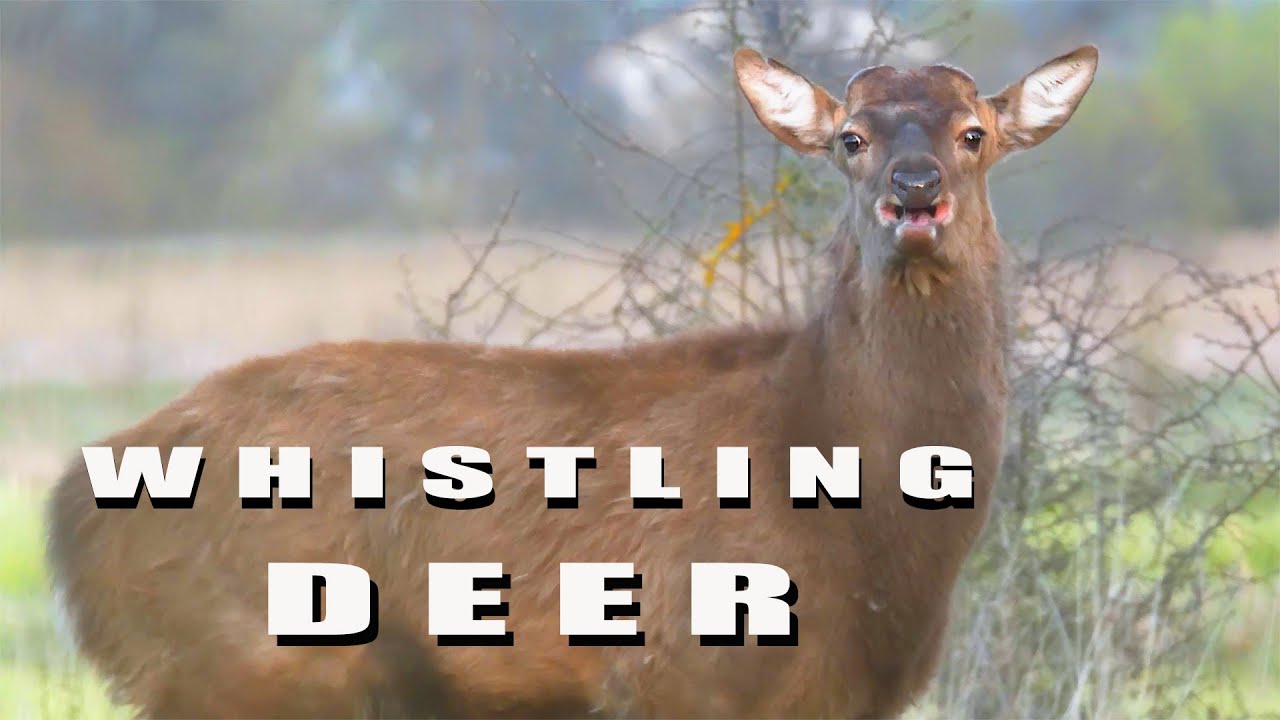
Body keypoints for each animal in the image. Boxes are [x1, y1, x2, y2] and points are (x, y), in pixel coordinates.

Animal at [46, 44, 1097, 719]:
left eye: (973, 132)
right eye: (851, 137)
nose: (915, 190)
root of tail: (72, 506)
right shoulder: (680, 676)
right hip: (236, 664)